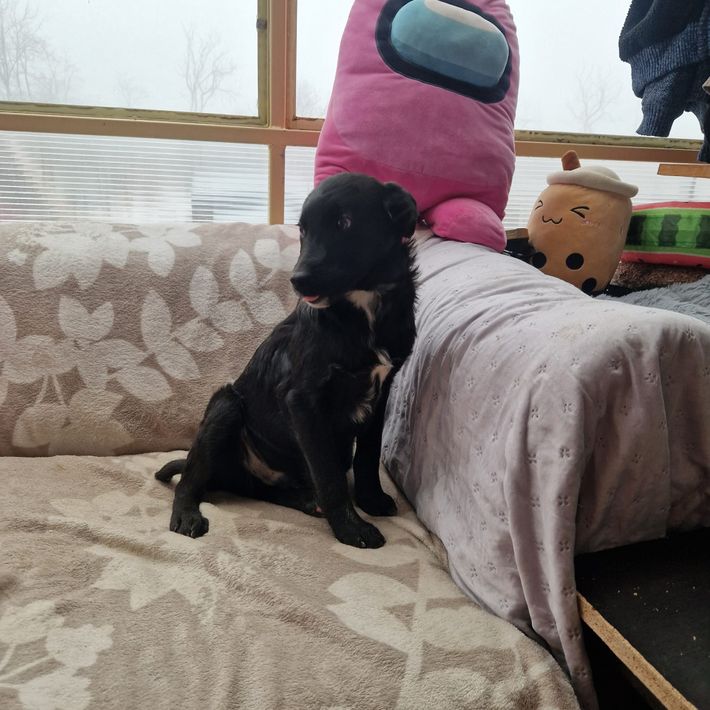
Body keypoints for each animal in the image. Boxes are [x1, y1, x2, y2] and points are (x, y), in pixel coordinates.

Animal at [155, 173, 418, 548]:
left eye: (345, 222)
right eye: (303, 230)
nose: (298, 279)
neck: (362, 306)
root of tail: (230, 475)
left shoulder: (383, 391)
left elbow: (367, 455)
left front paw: (371, 500)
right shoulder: (303, 400)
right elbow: (328, 474)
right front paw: (351, 529)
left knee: (262, 490)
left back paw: (305, 500)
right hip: (225, 407)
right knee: (192, 476)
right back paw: (187, 516)